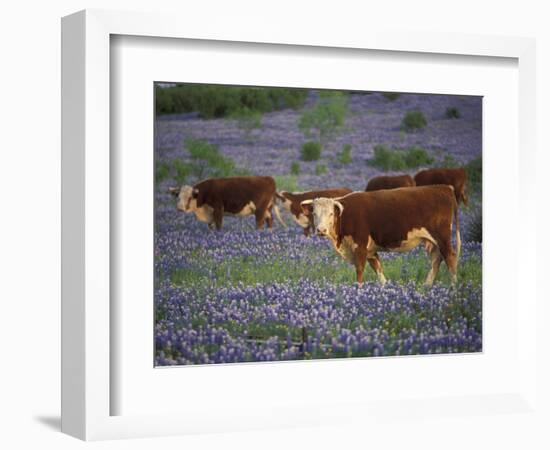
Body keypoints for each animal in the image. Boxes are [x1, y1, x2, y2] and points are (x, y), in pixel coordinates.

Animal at [302, 185, 462, 284]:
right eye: (314, 214)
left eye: (331, 214)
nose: (321, 230)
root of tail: (445, 188)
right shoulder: (371, 251)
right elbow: (379, 272)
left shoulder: (360, 247)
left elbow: (360, 272)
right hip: (431, 241)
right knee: (436, 259)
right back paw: (427, 286)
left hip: (442, 237)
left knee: (450, 257)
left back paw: (454, 288)